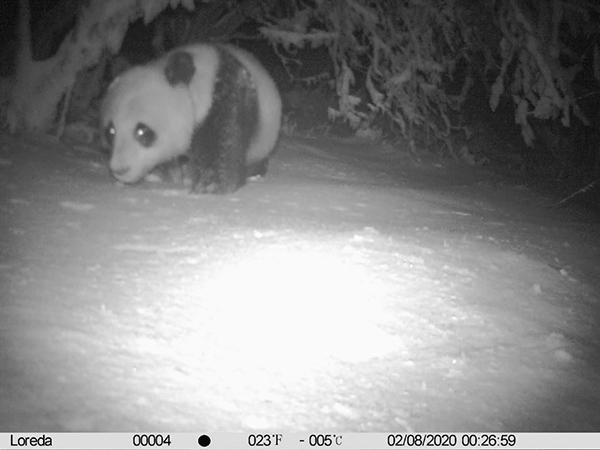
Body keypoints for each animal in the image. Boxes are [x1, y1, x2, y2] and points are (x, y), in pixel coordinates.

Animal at [100, 42, 282, 195]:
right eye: (111, 132)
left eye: (142, 131)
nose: (120, 169)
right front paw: (159, 174)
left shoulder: (225, 99)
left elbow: (224, 141)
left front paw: (211, 184)